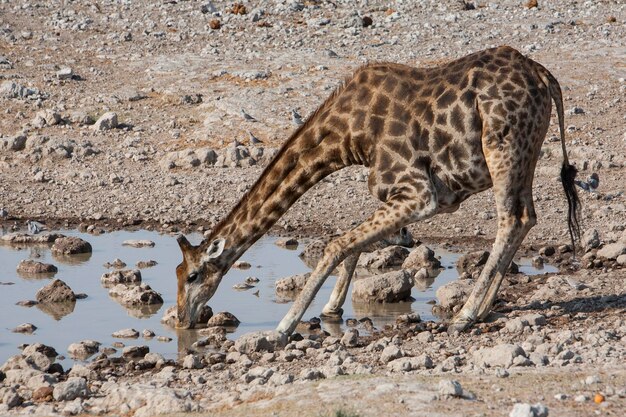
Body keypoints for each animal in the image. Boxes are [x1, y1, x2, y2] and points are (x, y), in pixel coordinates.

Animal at [173, 44, 576, 334]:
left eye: (192, 276)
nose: (182, 318)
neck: (348, 136)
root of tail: (544, 76)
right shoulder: (413, 197)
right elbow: (352, 242)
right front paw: (331, 308)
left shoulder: (419, 193)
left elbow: (337, 244)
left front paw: (284, 326)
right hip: (526, 153)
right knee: (527, 217)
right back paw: (483, 308)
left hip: (502, 148)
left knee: (511, 219)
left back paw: (465, 314)